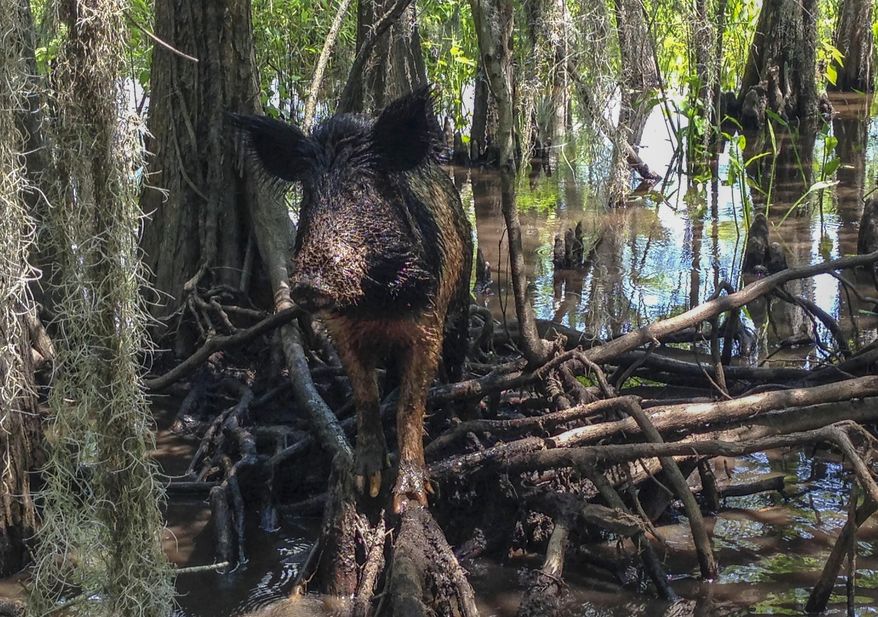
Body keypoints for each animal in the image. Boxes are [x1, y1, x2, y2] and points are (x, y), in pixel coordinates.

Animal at [231, 87, 472, 512]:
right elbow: (365, 396)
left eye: (360, 189)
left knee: (456, 354)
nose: (307, 284)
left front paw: (409, 499)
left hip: (462, 299)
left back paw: (456, 406)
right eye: (308, 195)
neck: (375, 302)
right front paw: (366, 484)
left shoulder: (427, 322)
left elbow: (411, 406)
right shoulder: (342, 330)